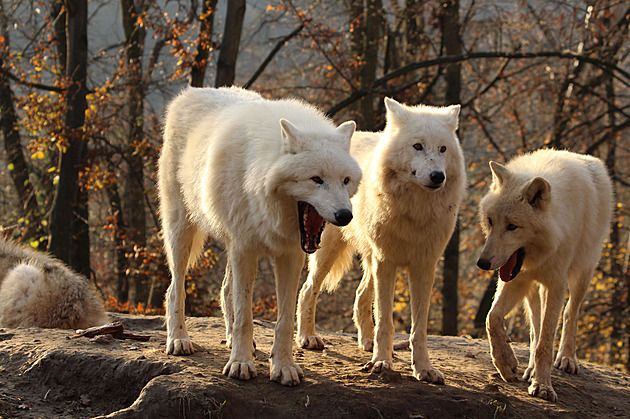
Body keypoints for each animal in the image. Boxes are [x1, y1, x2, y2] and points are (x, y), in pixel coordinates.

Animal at [160, 86, 362, 388]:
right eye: (316, 179)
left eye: (345, 180)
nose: (345, 216)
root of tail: (190, 92)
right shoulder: (246, 249)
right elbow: (246, 315)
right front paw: (241, 364)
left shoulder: (289, 255)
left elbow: (284, 320)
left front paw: (284, 367)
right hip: (182, 230)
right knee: (175, 288)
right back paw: (179, 340)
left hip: (230, 244)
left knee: (225, 290)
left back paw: (230, 339)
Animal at [298, 97, 470, 384]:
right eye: (417, 146)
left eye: (443, 149)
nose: (438, 176)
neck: (415, 211)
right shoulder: (387, 262)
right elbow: (386, 321)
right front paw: (382, 363)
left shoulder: (424, 266)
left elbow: (418, 328)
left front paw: (424, 368)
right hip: (331, 252)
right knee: (308, 289)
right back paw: (308, 337)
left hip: (371, 259)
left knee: (360, 295)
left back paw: (366, 341)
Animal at [482, 151, 616, 404]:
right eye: (491, 221)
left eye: (512, 226)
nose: (482, 263)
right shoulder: (517, 278)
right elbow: (492, 318)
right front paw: (506, 364)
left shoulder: (556, 284)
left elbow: (546, 340)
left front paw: (543, 386)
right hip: (533, 289)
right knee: (535, 327)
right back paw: (530, 368)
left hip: (583, 273)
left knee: (570, 312)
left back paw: (567, 358)